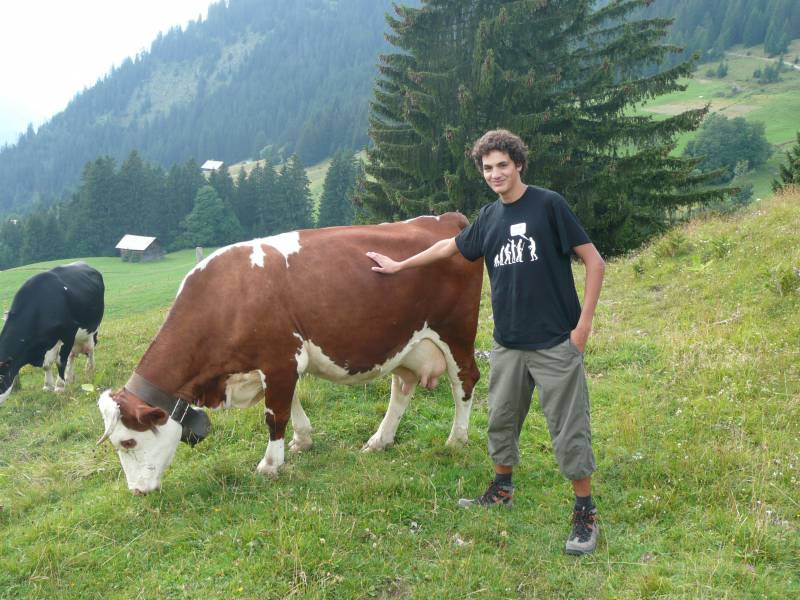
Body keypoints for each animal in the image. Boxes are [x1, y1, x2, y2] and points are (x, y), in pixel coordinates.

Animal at [0, 262, 104, 404]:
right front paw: (48, 386)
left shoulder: (68, 332)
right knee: (72, 355)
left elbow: (60, 361)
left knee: (90, 349)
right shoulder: (47, 342)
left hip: (92, 329)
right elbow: (47, 364)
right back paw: (69, 377)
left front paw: (59, 387)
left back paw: (89, 370)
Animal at [94, 213, 482, 494]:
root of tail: (446, 219)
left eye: (128, 441)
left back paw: (456, 440)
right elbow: (289, 402)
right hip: (406, 344)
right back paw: (379, 440)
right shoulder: (276, 364)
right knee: (402, 388)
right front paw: (302, 440)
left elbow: (274, 414)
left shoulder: (281, 358)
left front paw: (270, 464)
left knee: (465, 380)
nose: (137, 491)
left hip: (456, 332)